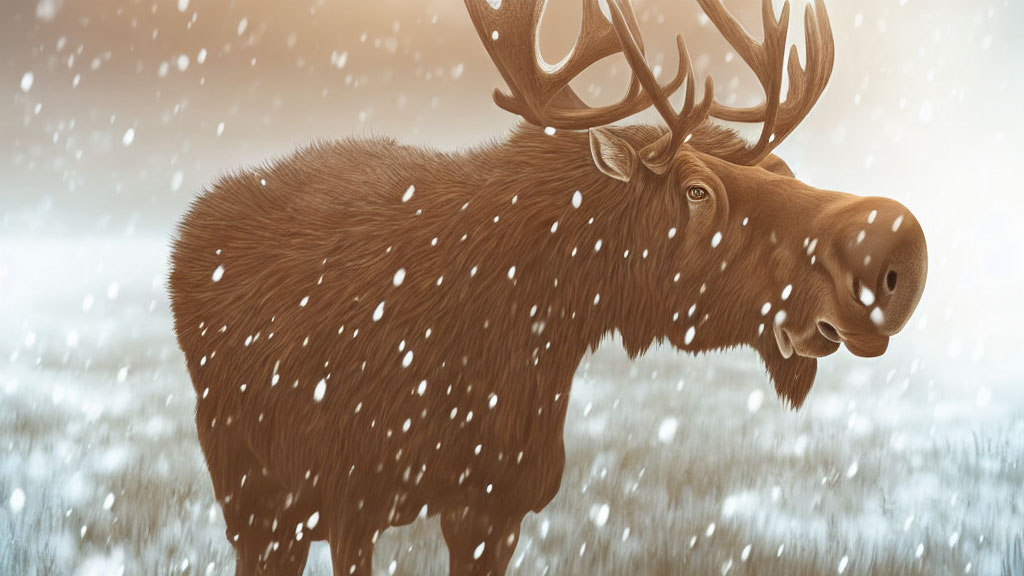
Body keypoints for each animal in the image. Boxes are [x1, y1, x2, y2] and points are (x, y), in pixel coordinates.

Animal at [167, 1, 929, 573]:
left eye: (781, 168)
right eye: (696, 190)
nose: (897, 248)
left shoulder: (497, 505)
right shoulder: (350, 498)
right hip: (250, 490)